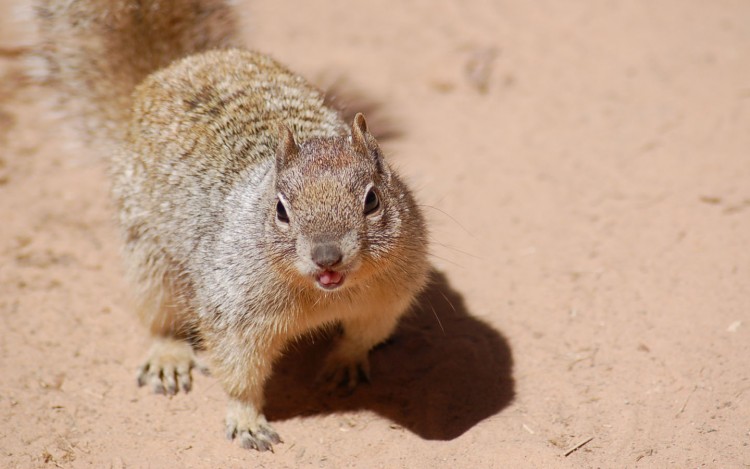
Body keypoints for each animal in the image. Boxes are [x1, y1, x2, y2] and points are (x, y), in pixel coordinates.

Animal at [35, 0, 432, 450]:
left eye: (372, 199)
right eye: (280, 210)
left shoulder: (389, 298)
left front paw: (345, 362)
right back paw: (168, 356)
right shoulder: (233, 313)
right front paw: (246, 420)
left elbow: (362, 335)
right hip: (149, 262)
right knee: (159, 318)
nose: (327, 256)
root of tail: (173, 68)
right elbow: (239, 373)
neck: (326, 296)